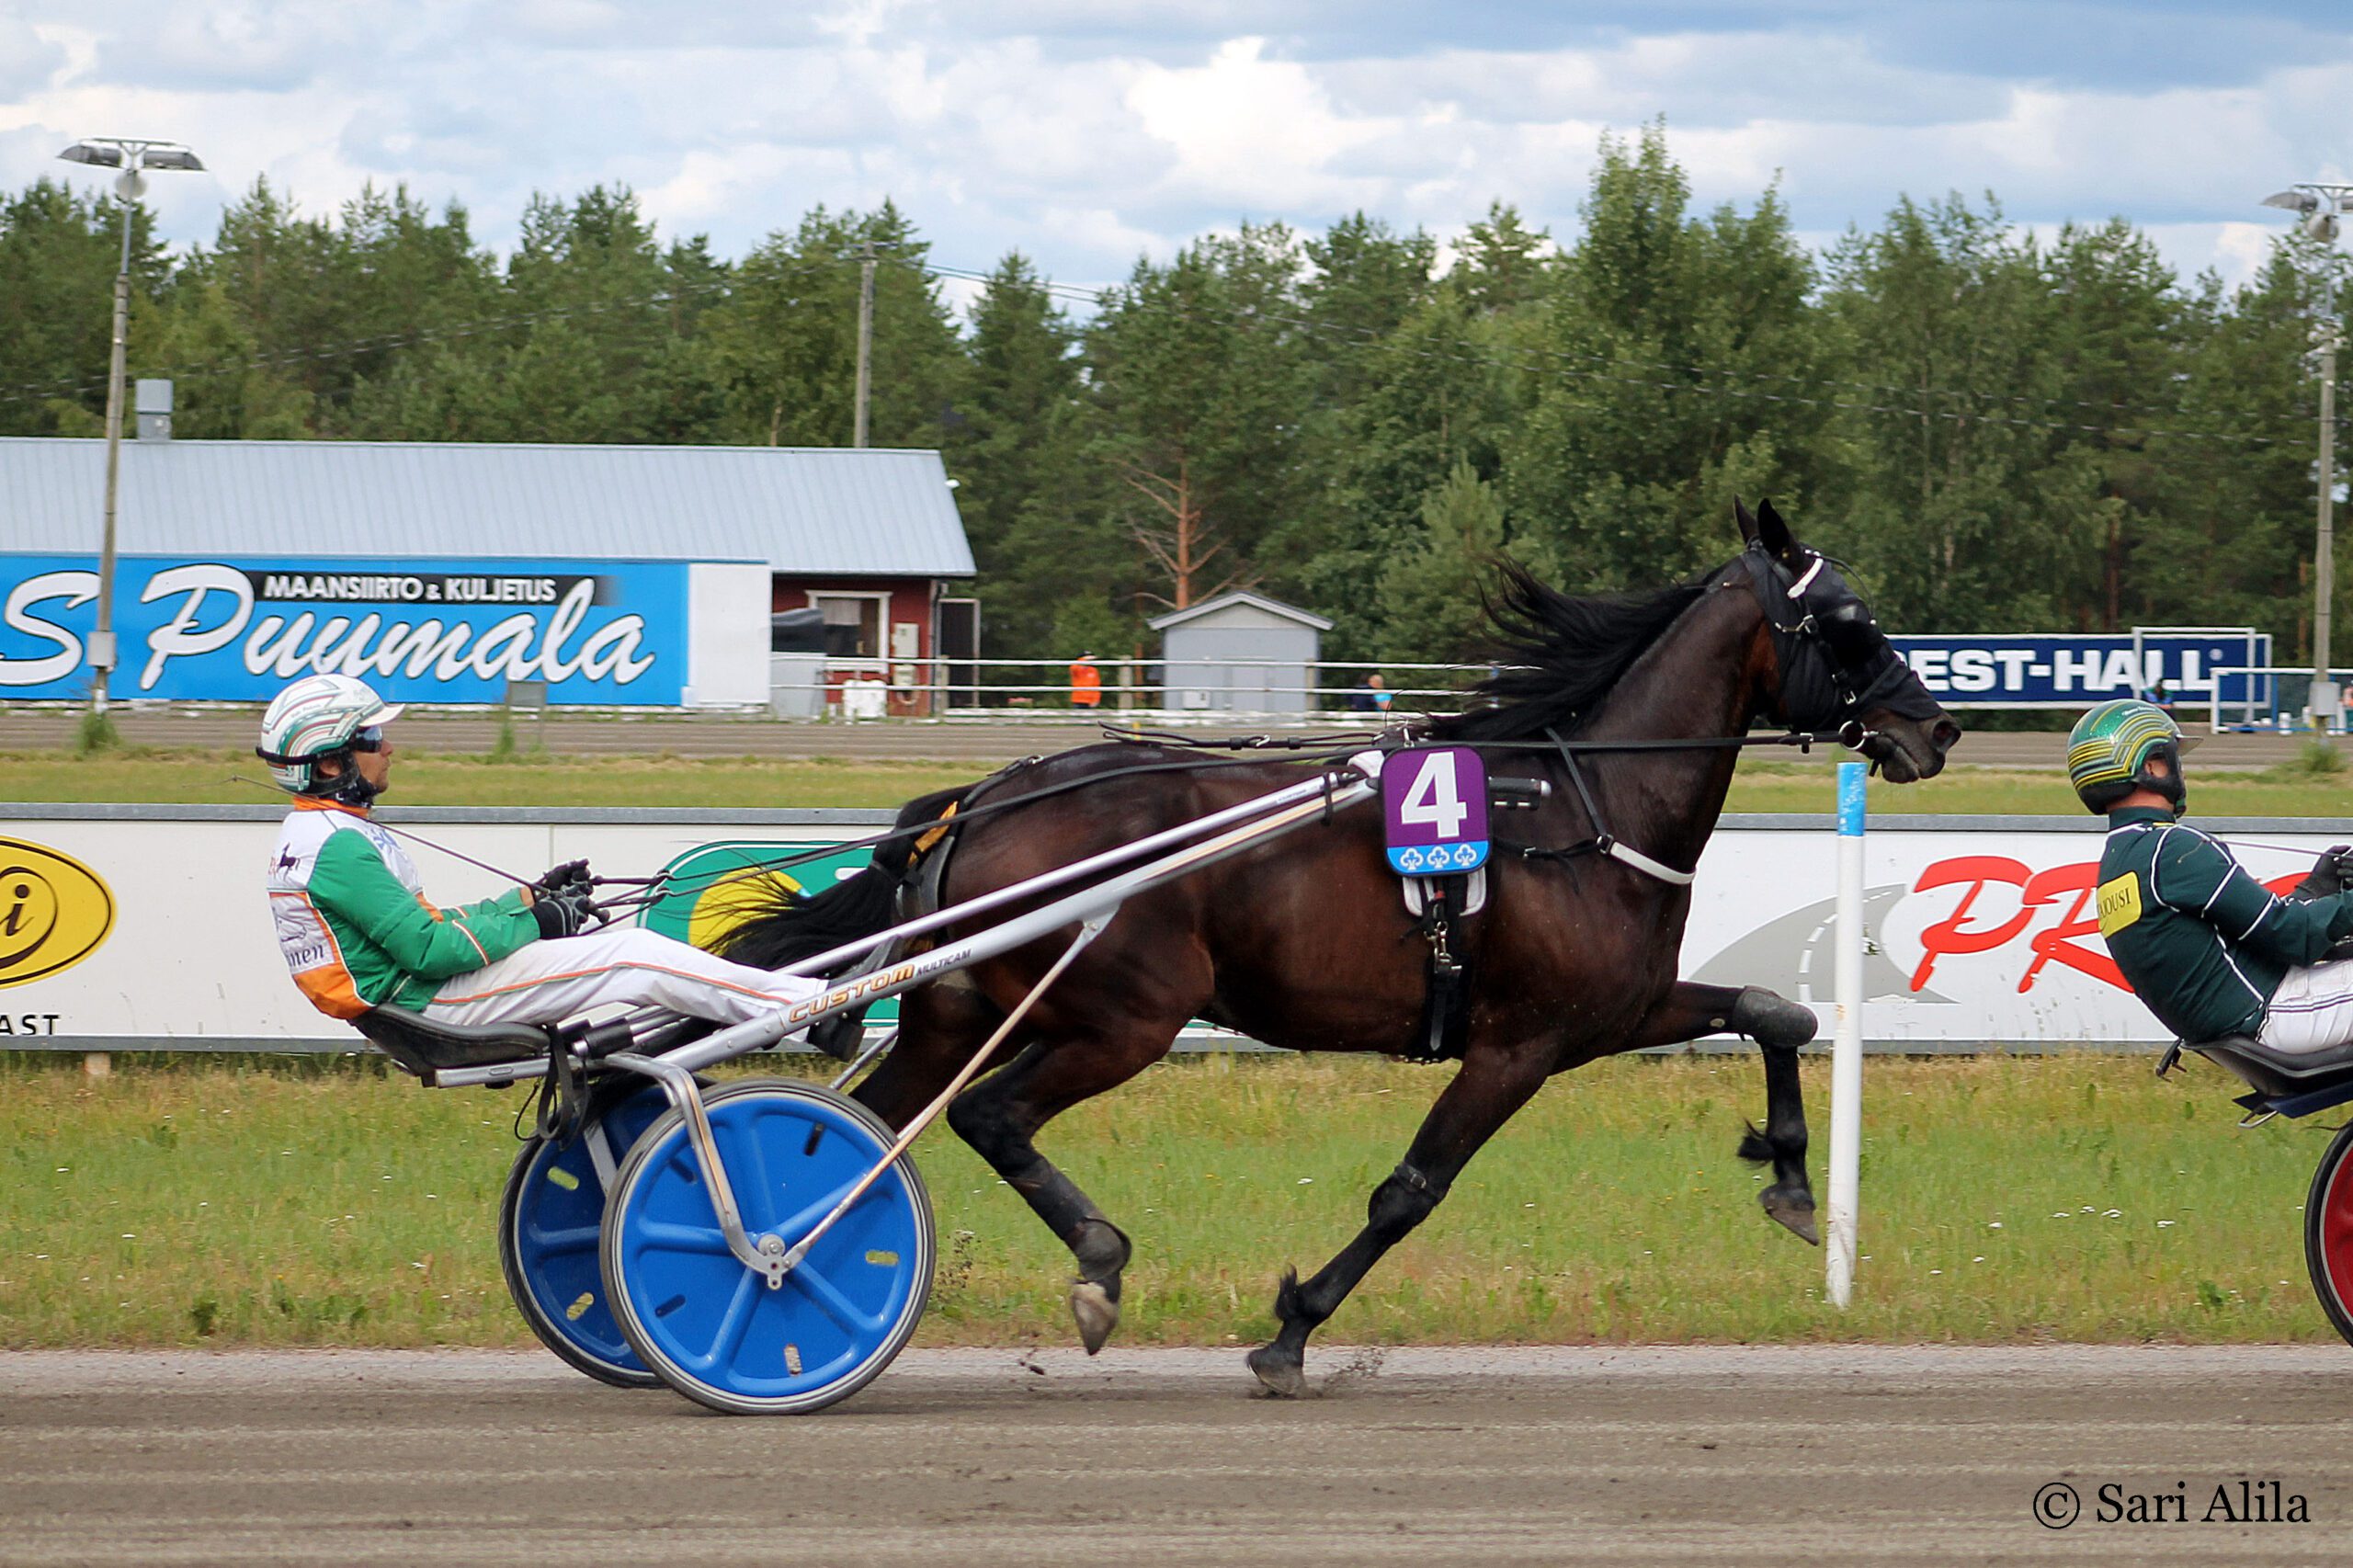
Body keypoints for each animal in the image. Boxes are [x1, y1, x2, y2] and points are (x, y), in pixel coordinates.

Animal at [720, 498, 1960, 1395]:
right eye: (1851, 620)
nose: (1936, 727)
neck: (1579, 806)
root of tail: (976, 802)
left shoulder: (1611, 1012)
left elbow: (1772, 1011)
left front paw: (1790, 1178)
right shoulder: (1520, 1043)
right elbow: (1410, 1190)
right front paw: (1290, 1330)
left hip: (957, 1010)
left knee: (862, 1130)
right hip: (1123, 1014)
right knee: (988, 1115)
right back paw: (1095, 1267)